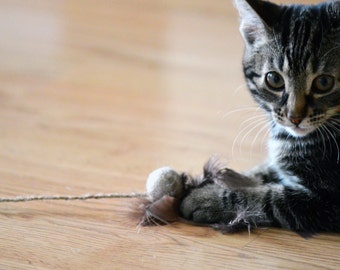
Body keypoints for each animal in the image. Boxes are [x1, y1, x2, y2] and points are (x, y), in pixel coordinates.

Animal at [179, 0, 338, 235]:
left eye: (324, 83)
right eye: (274, 79)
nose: (294, 117)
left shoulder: (328, 201)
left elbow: (271, 199)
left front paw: (209, 198)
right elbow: (265, 169)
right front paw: (223, 179)